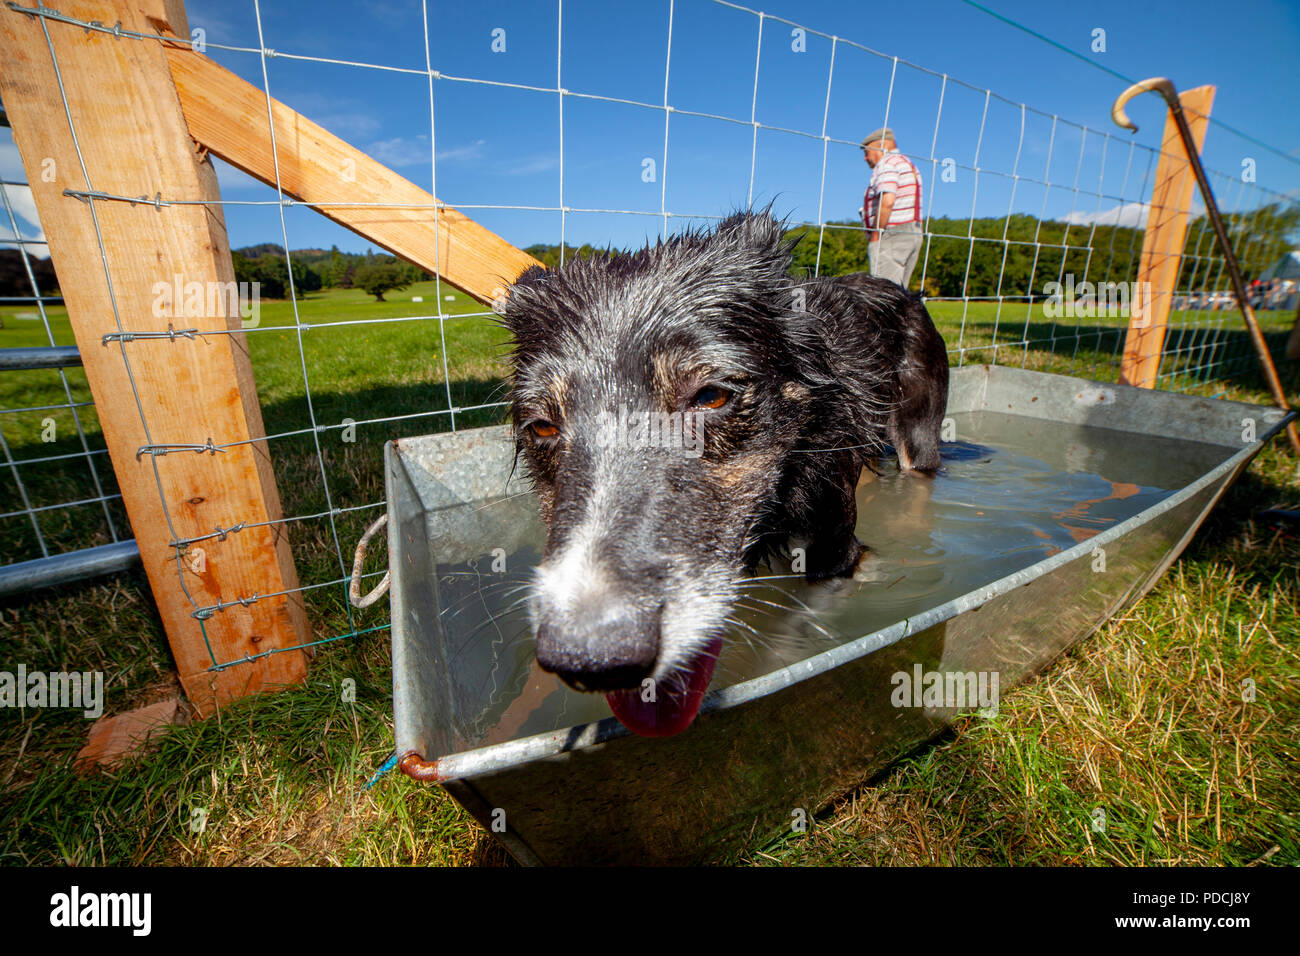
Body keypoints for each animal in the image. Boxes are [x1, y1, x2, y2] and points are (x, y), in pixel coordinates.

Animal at [496, 208, 946, 733]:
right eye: (543, 427)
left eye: (710, 396)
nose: (590, 656)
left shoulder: (835, 549)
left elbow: (793, 632)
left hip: (919, 436)